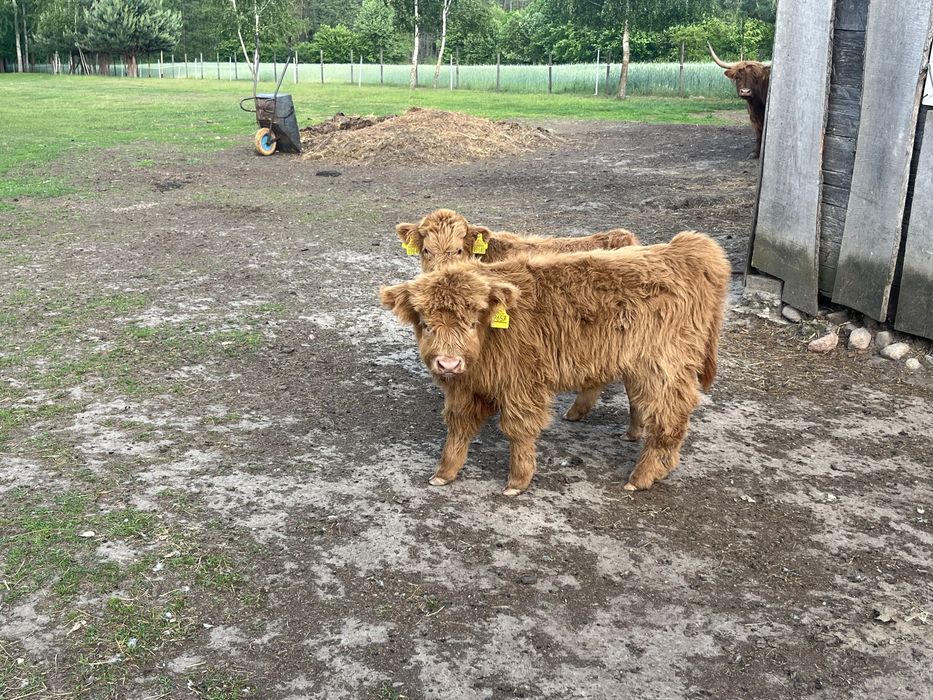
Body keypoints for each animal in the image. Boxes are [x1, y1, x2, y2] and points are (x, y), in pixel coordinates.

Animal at [380, 231, 731, 496]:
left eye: (471, 322)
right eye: (426, 324)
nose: (448, 363)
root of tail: (685, 248)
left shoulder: (522, 384)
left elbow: (518, 430)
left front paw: (517, 481)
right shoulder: (466, 387)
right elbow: (458, 426)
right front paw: (444, 472)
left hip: (663, 368)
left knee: (669, 416)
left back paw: (642, 476)